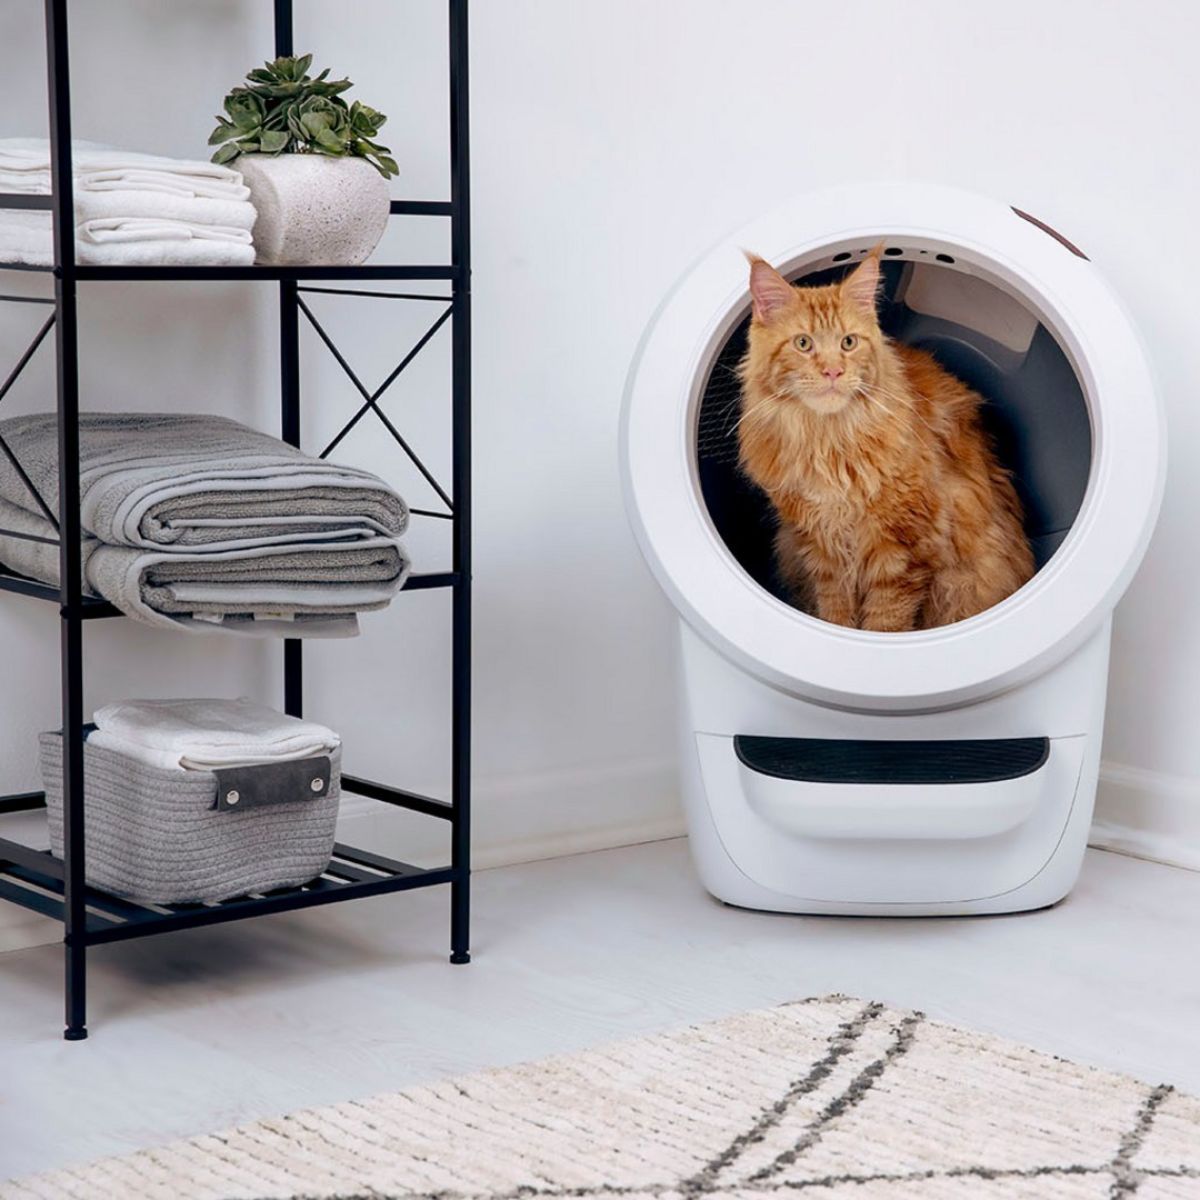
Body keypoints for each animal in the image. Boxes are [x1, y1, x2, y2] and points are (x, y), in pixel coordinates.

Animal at [739, 248, 1032, 633]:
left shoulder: (902, 548)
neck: (828, 440)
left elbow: (885, 621)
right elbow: (836, 612)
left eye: (848, 342)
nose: (833, 372)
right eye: (803, 343)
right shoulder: (821, 547)